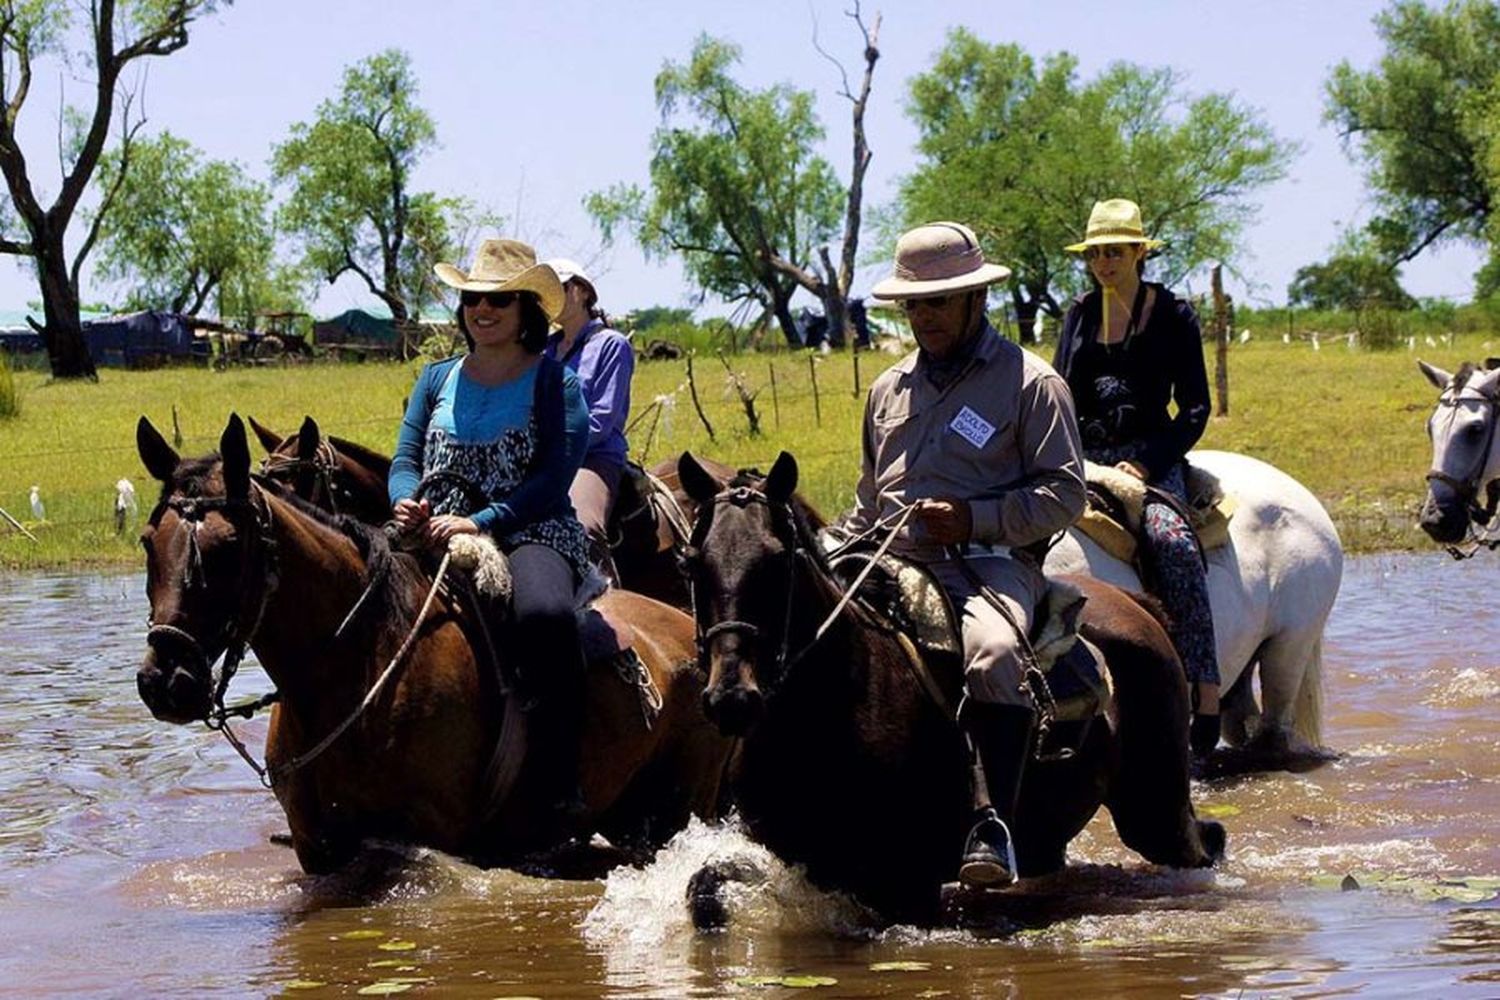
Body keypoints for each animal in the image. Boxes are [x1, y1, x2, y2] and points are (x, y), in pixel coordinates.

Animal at [135, 413, 732, 875]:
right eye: (148, 541)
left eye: (229, 546)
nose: (164, 680)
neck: (358, 665)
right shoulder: (316, 848)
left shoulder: (431, 842)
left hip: (679, 808)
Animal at [678, 449, 1218, 929]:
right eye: (692, 564)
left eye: (776, 562)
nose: (731, 698)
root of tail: (1137, 603)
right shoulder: (796, 859)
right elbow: (704, 890)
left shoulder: (905, 886)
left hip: (1157, 812)